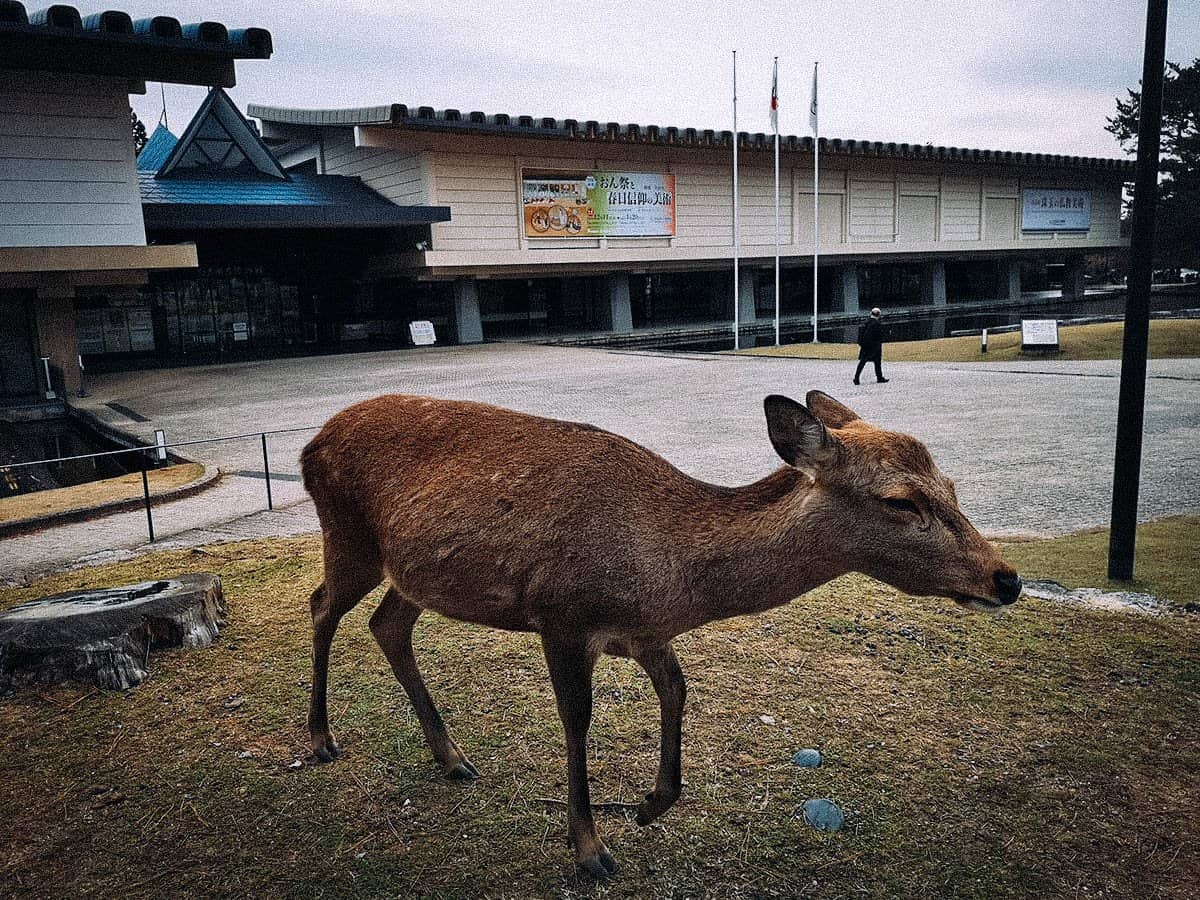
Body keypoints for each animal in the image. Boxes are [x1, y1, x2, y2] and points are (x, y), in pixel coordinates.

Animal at [300, 391, 1022, 878]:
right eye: (902, 500)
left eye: (951, 484)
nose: (1007, 579)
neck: (670, 578)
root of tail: (311, 442)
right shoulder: (561, 614)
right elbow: (577, 718)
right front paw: (590, 848)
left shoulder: (646, 633)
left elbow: (677, 692)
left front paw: (649, 805)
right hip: (349, 535)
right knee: (321, 607)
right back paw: (321, 739)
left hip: (413, 571)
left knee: (386, 624)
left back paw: (452, 758)